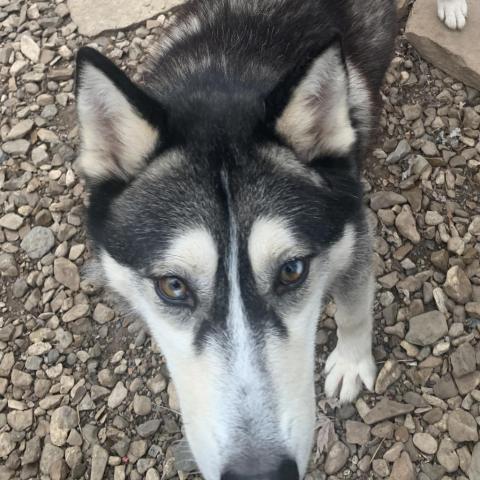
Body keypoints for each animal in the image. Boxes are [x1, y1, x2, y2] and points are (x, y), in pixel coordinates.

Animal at [75, 0, 396, 478]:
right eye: (173, 286)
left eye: (292, 271)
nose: (260, 472)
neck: (227, 71)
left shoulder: (354, 232)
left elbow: (354, 310)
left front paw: (352, 363)